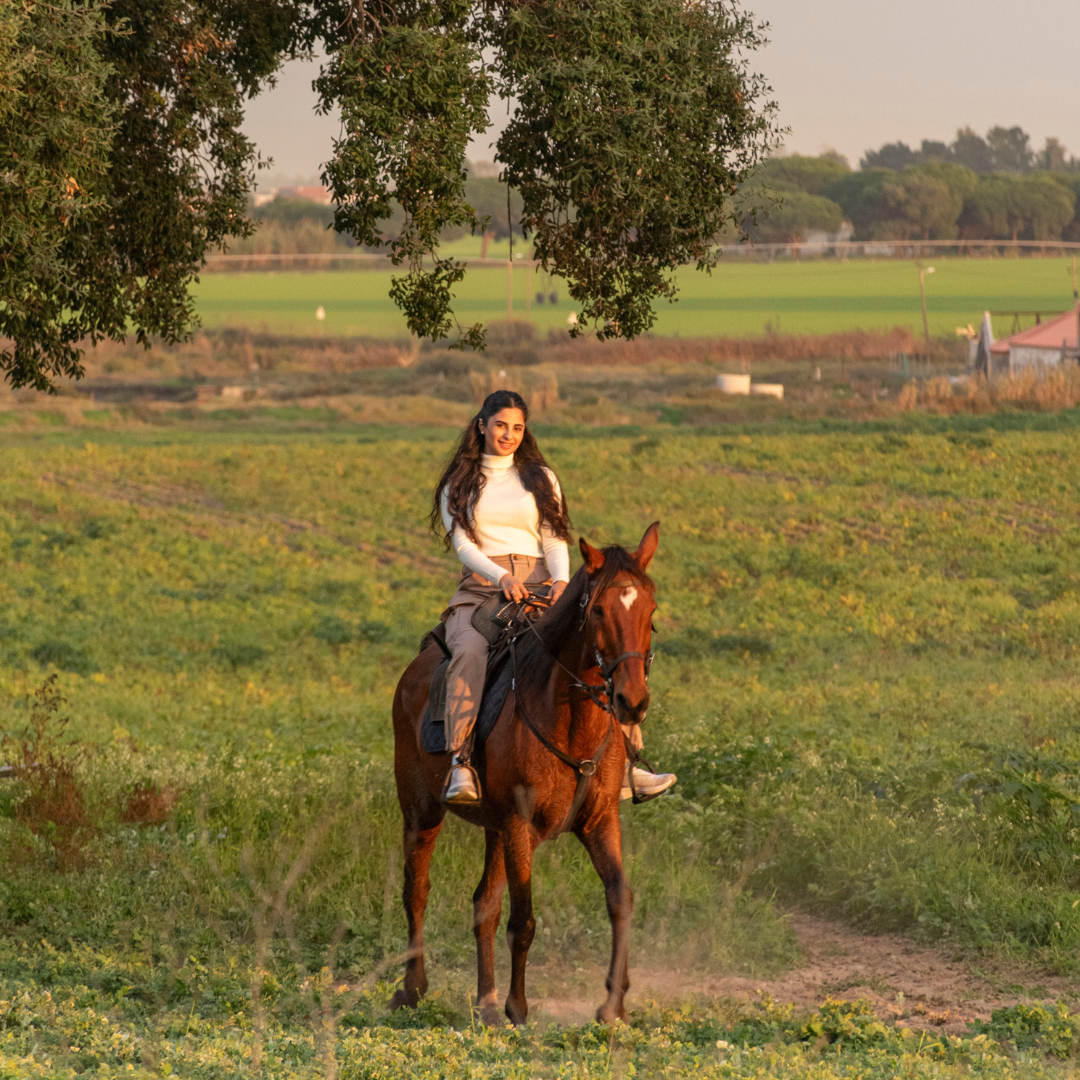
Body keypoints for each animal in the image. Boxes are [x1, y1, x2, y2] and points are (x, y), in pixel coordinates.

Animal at [388, 520, 656, 1019]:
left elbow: (619, 901)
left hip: (493, 829)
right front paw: (518, 1007)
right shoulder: (520, 825)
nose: (632, 701)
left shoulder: (600, 821)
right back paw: (413, 989)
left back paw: (486, 1002)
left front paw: (612, 1005)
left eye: (651, 609)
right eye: (599, 610)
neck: (570, 721)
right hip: (421, 811)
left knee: (483, 905)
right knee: (416, 891)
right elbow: (524, 919)